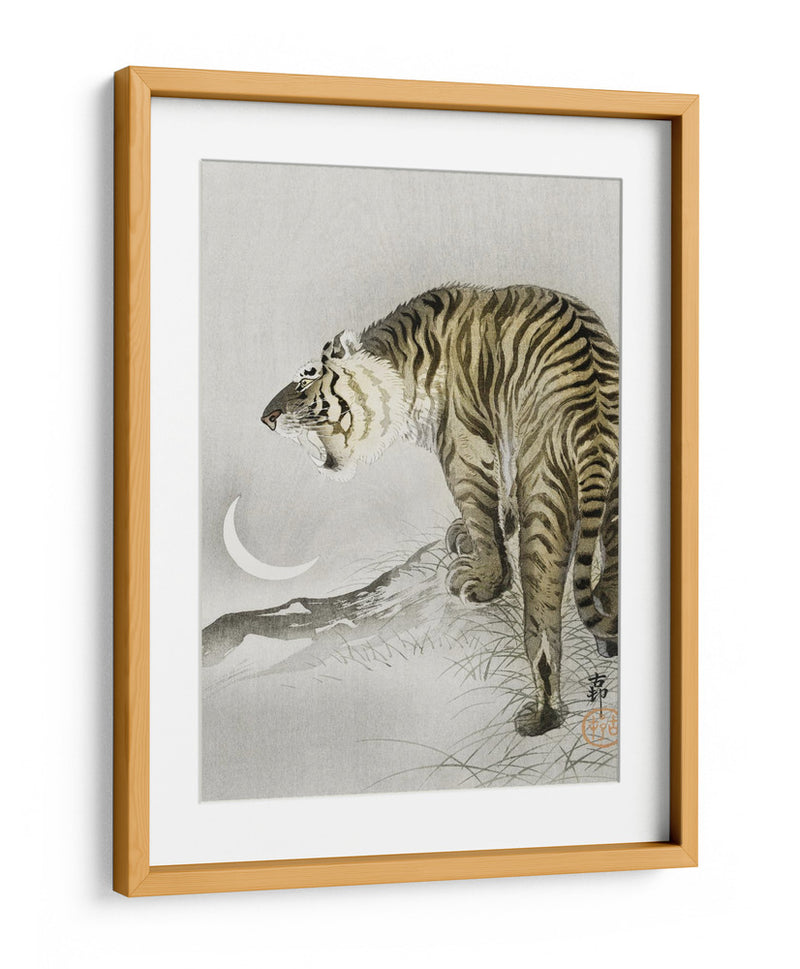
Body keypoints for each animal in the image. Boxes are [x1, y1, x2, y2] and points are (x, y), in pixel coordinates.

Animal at [261, 285, 619, 736]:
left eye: (307, 376)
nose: (266, 417)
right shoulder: (501, 440)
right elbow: (497, 503)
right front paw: (476, 533)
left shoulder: (463, 447)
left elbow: (480, 510)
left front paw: (484, 579)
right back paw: (609, 640)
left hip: (545, 487)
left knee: (542, 621)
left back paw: (542, 716)